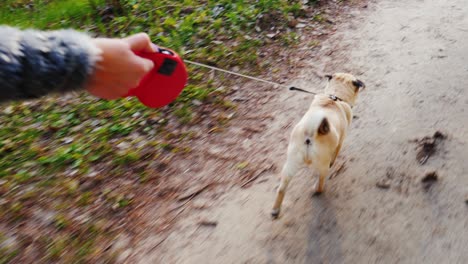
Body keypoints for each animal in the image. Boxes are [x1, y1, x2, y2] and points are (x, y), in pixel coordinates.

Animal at [270, 72, 366, 219]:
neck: (335, 97)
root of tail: (311, 131)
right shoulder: (340, 142)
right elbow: (336, 154)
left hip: (290, 164)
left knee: (281, 188)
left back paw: (275, 210)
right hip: (322, 165)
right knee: (321, 181)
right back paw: (317, 189)